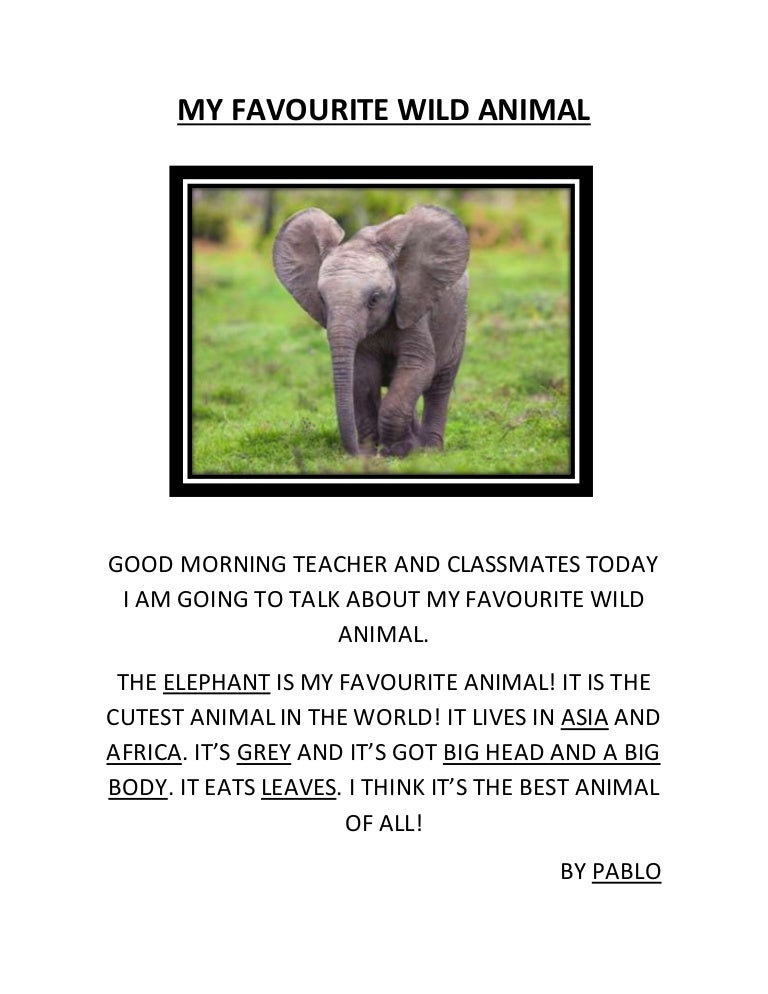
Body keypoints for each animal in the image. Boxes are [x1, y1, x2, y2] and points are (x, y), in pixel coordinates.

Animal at [273, 204, 469, 457]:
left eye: (374, 299)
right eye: (322, 299)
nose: (355, 452)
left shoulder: (413, 309)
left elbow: (417, 366)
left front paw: (399, 451)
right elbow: (363, 375)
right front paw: (374, 453)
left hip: (458, 320)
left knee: (440, 384)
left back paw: (431, 449)